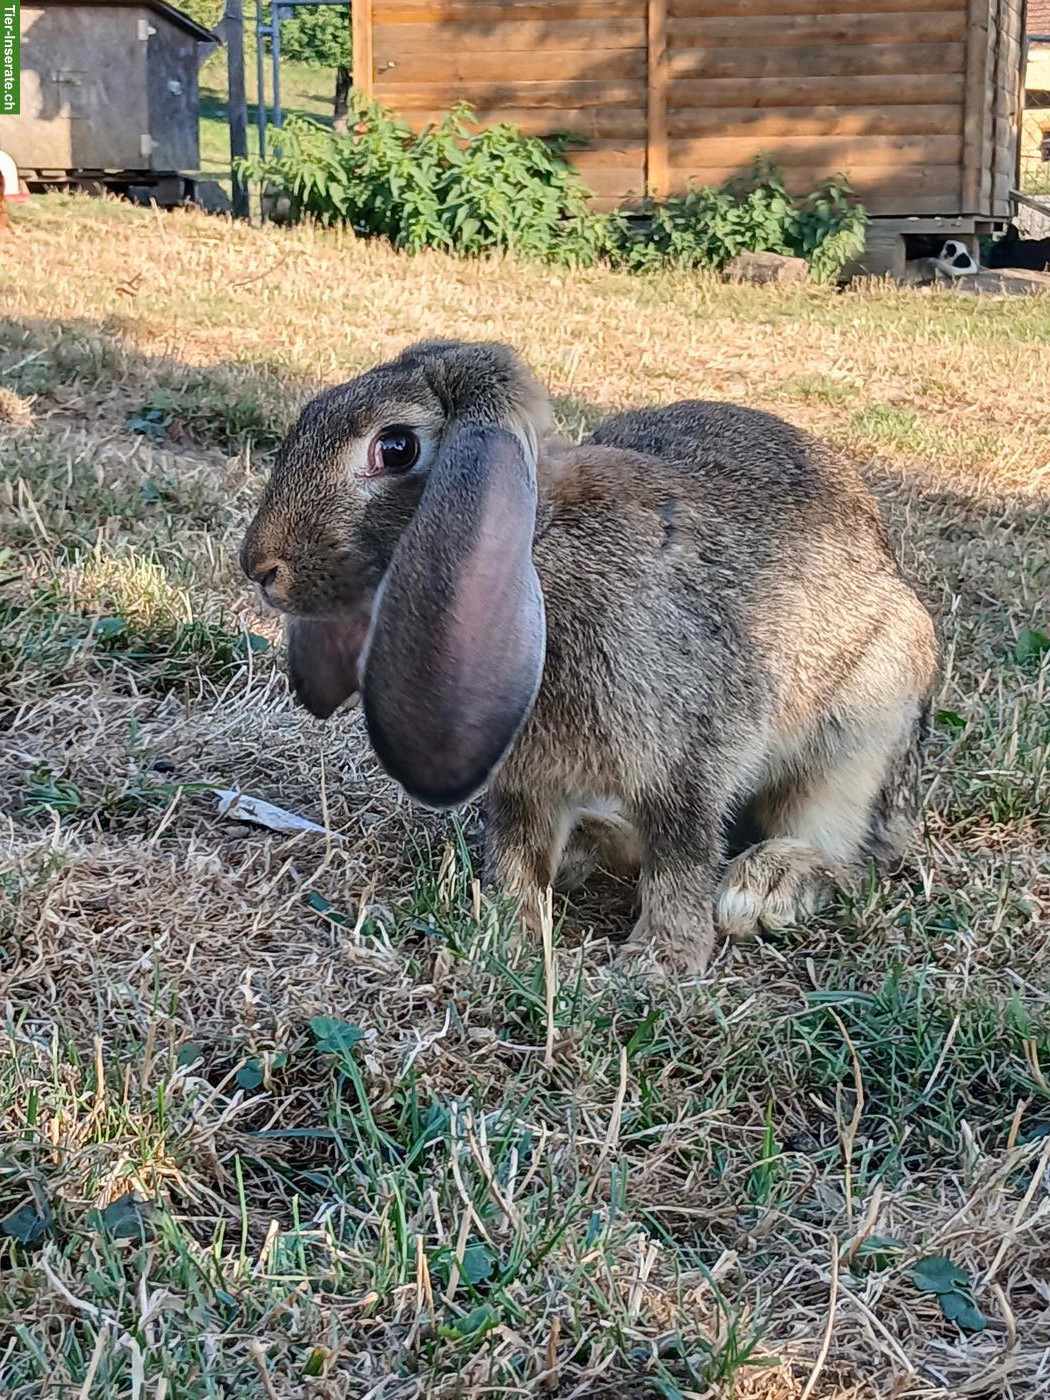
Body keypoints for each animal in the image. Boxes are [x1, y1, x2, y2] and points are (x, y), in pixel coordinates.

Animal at [240, 340, 939, 973]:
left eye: (395, 448)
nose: (260, 567)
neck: (538, 548)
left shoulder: (690, 755)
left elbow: (681, 857)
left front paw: (659, 962)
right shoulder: (524, 780)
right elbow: (518, 850)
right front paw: (508, 935)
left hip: (860, 736)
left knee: (842, 851)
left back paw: (765, 887)